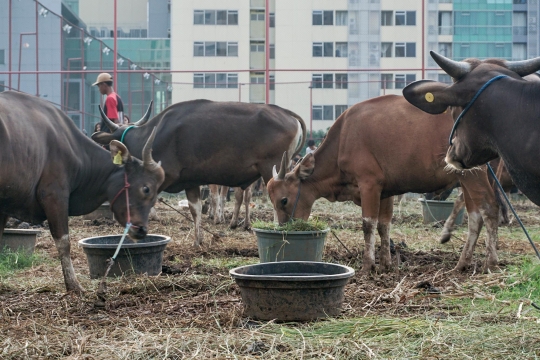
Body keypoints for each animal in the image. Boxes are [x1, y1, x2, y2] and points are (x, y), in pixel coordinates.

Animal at [0, 91, 165, 294]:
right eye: (146, 188)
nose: (141, 230)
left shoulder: (4, 207)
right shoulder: (55, 196)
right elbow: (64, 242)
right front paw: (73, 285)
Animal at [90, 98, 306, 246]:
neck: (152, 136)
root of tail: (286, 112)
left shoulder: (165, 176)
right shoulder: (191, 181)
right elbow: (195, 209)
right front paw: (198, 239)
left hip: (272, 169)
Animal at [268, 95, 500, 272]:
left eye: (284, 200)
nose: (284, 228)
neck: (344, 137)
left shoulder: (369, 184)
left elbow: (368, 224)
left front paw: (368, 265)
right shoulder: (386, 191)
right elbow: (384, 225)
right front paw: (386, 263)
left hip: (474, 175)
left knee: (489, 209)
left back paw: (491, 262)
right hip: (465, 178)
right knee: (475, 217)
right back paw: (463, 263)